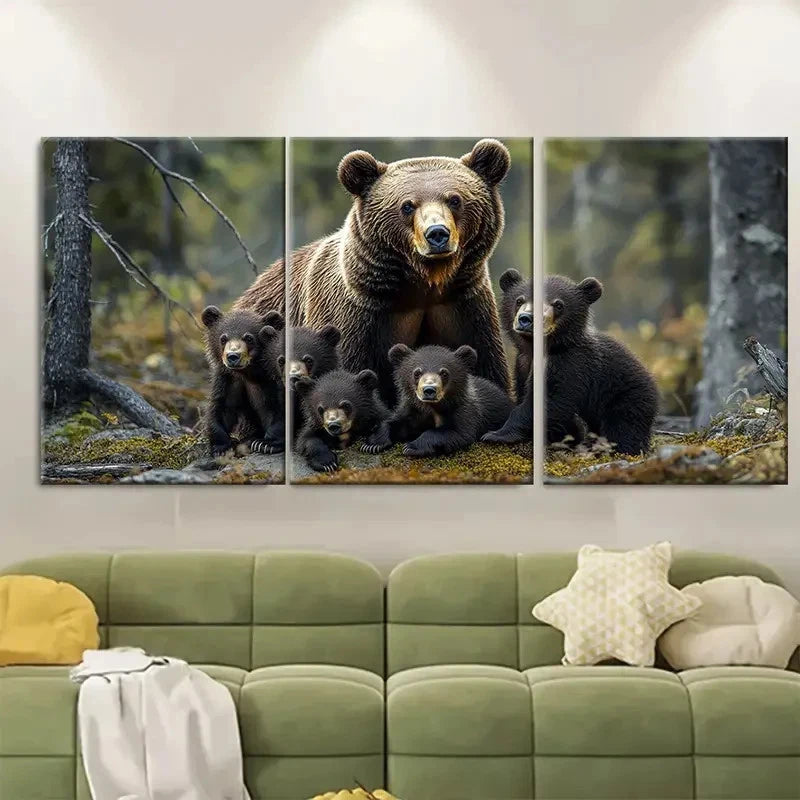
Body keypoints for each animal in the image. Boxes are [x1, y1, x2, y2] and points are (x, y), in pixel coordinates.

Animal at [201, 305, 285, 456]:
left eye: (249, 338)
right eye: (223, 338)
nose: (233, 356)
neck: (249, 373)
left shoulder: (273, 380)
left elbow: (279, 408)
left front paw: (265, 444)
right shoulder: (230, 380)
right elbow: (223, 408)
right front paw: (221, 447)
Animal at [233, 140, 513, 407]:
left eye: (454, 199)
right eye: (407, 205)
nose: (437, 234)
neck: (422, 285)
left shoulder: (462, 307)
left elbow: (487, 369)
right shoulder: (355, 318)